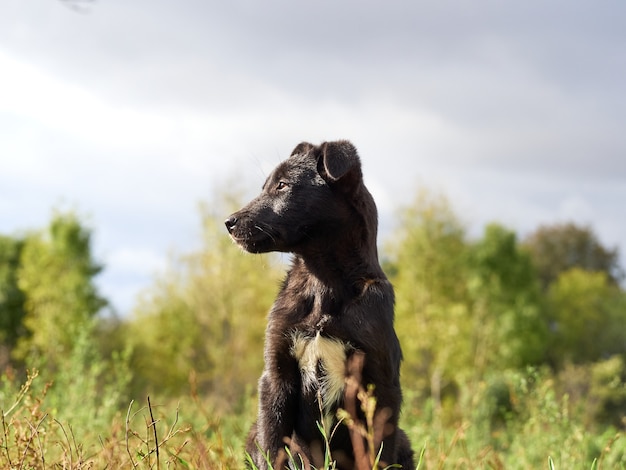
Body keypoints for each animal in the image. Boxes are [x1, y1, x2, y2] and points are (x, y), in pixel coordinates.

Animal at [225, 140, 414, 470]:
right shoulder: (276, 376)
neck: (322, 281)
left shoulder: (382, 386)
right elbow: (272, 445)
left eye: (282, 185)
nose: (228, 223)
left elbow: (378, 451)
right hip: (254, 434)